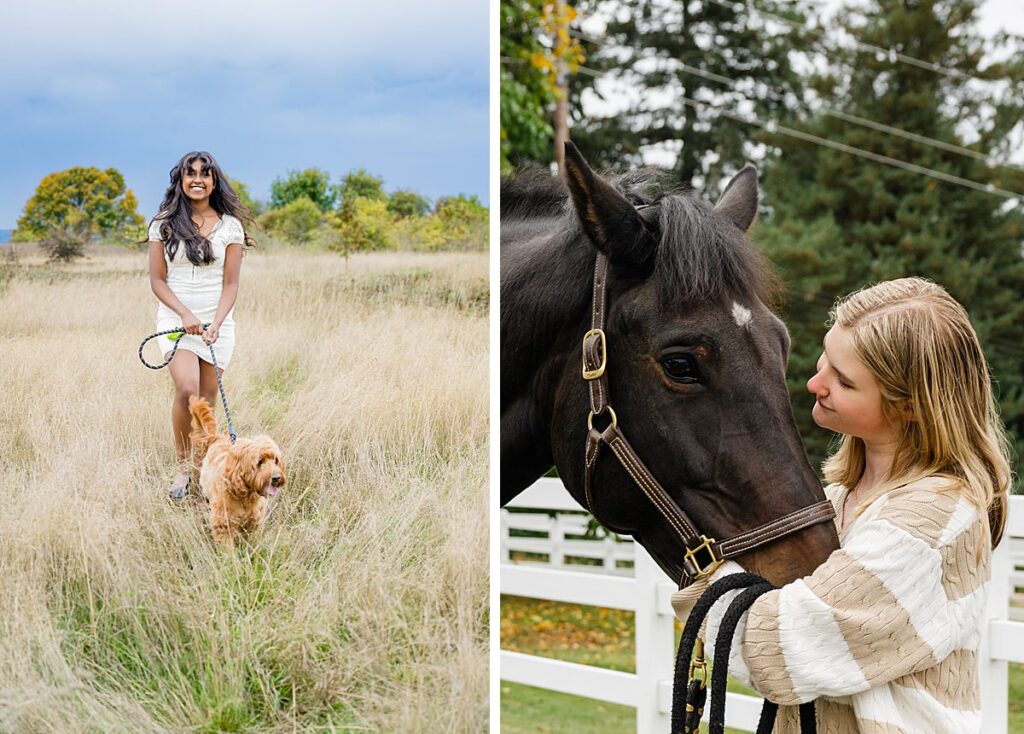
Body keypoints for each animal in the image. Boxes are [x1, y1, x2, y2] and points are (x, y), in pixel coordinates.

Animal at [187, 395, 284, 544]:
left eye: (276, 460)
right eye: (259, 461)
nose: (277, 478)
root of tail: (218, 437)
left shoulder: (254, 522)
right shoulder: (223, 524)